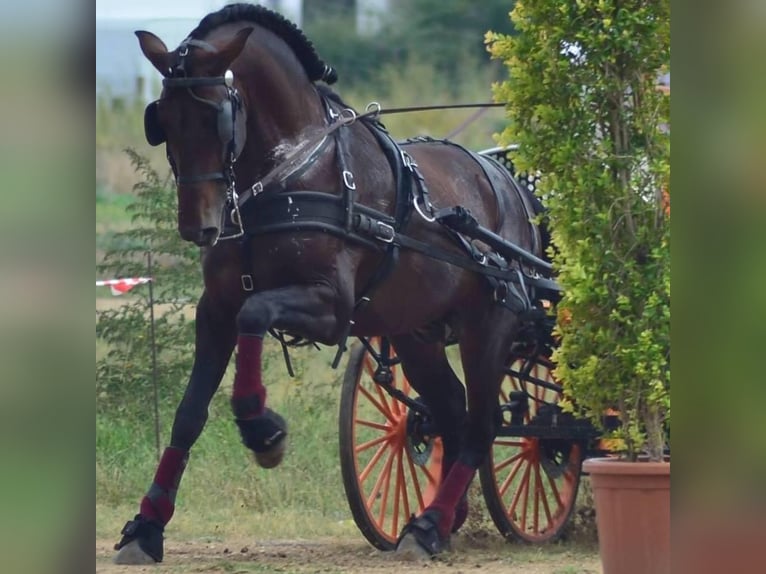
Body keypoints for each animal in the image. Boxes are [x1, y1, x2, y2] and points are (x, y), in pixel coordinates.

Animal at [115, 2, 540, 564]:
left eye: (217, 116)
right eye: (161, 119)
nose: (197, 226)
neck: (287, 171)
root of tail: (507, 184)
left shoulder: (330, 307)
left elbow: (257, 314)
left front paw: (263, 431)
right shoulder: (216, 308)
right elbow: (188, 412)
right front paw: (146, 527)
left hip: (488, 325)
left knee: (480, 422)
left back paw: (429, 524)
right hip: (414, 331)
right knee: (450, 407)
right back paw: (438, 519)